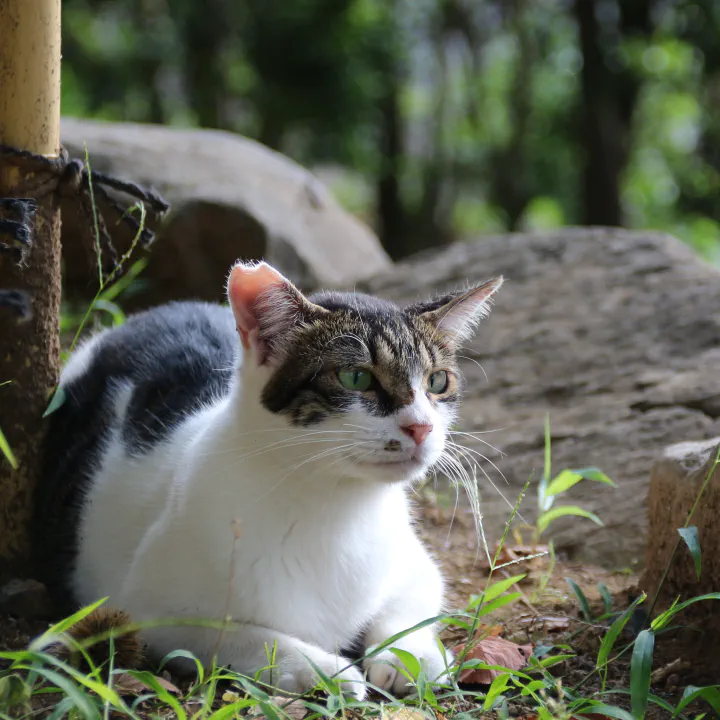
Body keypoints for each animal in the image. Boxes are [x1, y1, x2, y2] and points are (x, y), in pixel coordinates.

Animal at [35, 258, 500, 696]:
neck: (335, 507)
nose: (421, 427)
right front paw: (325, 671)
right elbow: (249, 638)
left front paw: (410, 658)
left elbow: (412, 608)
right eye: (356, 377)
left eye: (436, 381)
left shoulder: (416, 566)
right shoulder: (145, 613)